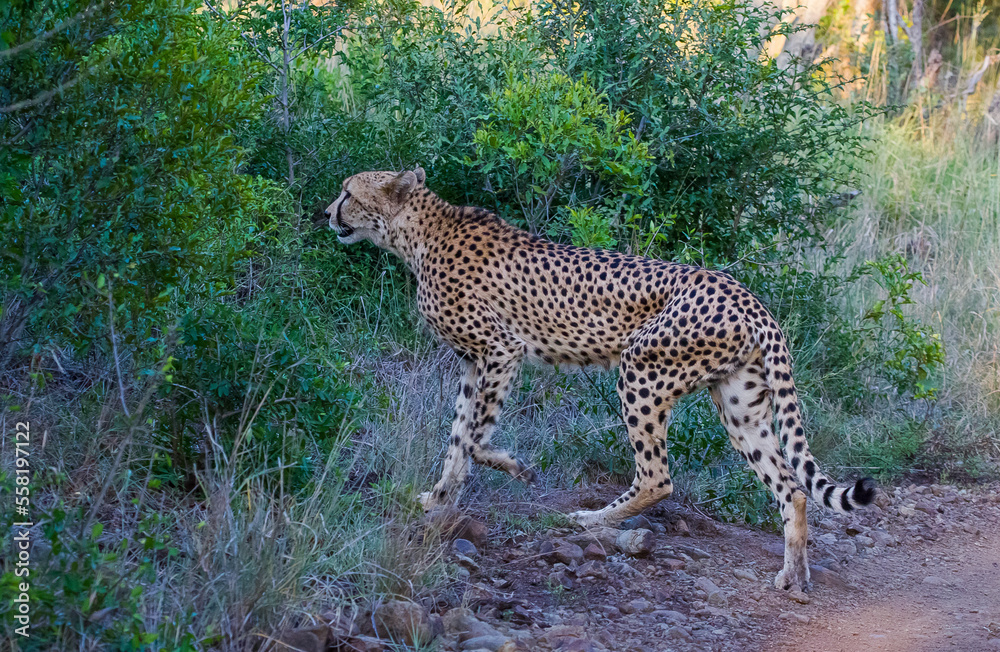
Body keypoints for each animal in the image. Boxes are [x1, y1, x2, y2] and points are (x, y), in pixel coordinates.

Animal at [325, 167, 877, 592]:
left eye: (348, 192)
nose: (327, 213)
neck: (418, 232)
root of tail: (745, 294)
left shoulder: (501, 350)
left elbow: (474, 438)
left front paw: (515, 469)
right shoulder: (471, 360)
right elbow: (458, 435)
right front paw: (437, 499)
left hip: (642, 369)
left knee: (657, 477)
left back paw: (590, 520)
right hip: (740, 403)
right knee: (792, 487)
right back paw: (794, 575)